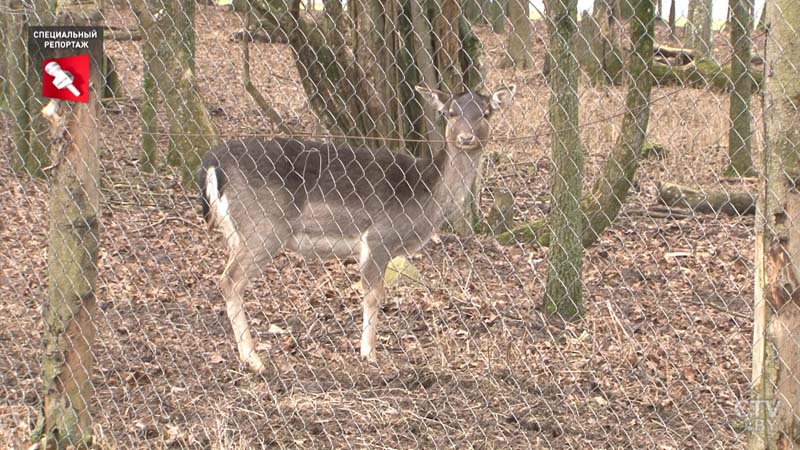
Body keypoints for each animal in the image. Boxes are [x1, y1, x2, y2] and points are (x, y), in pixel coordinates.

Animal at [197, 84, 516, 372]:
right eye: (449, 113)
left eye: (485, 113)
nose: (466, 137)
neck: (425, 197)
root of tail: (213, 161)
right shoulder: (378, 236)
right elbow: (374, 295)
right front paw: (369, 354)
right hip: (263, 227)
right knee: (230, 280)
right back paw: (254, 360)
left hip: (236, 231)